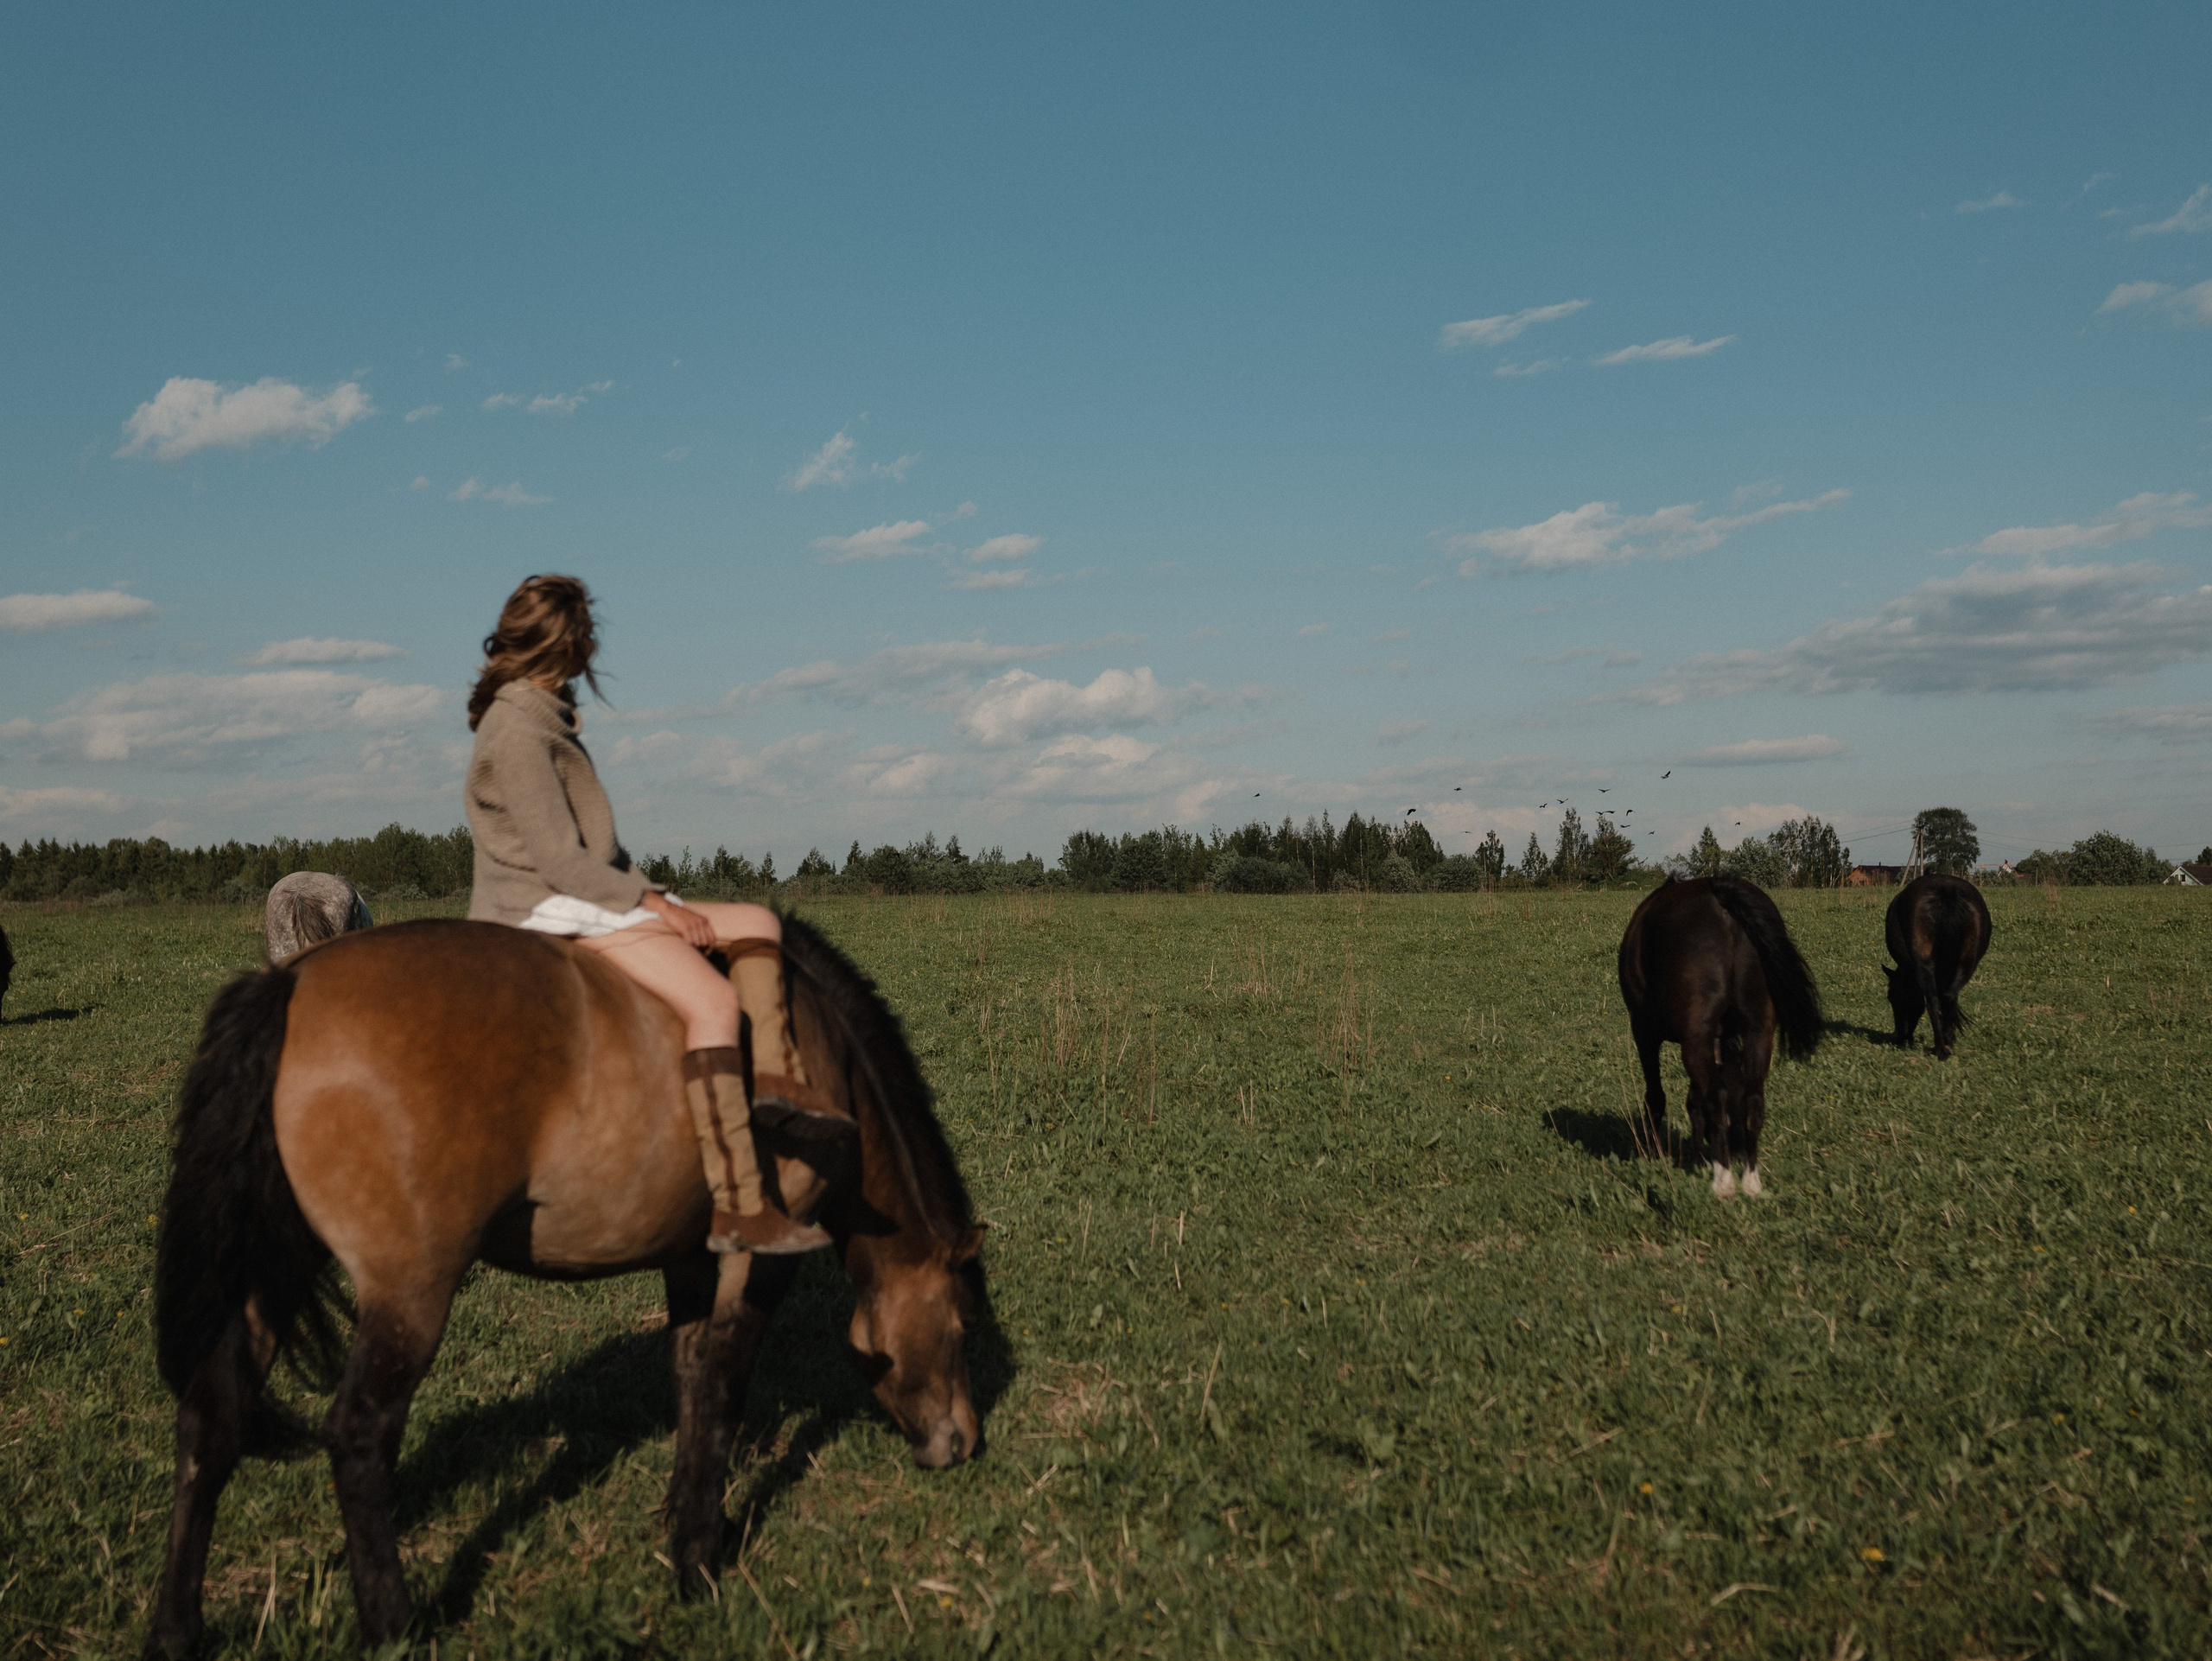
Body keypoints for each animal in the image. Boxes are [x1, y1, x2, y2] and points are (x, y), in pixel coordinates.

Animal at [144, 914, 984, 1657]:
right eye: (959, 1328)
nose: (963, 1442)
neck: (819, 1057)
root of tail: (290, 982)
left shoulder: (689, 1254)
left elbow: (691, 1377)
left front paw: (682, 1516)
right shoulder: (766, 1253)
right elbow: (722, 1389)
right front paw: (698, 1564)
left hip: (274, 1272)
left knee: (212, 1421)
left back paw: (176, 1628)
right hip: (408, 1294)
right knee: (357, 1437)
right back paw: (393, 1625)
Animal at [1617, 875, 1824, 1197]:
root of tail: (1719, 895)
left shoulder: (1645, 1031)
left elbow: (1659, 1097)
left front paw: (1656, 1153)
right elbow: (1700, 1100)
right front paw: (1699, 1155)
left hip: (1695, 1040)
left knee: (1715, 1097)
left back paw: (1723, 1180)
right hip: (1758, 1032)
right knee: (1753, 1099)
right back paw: (1750, 1179)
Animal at [1883, 873, 1992, 1059]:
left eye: (1892, 997)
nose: (1899, 1038)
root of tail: (1946, 891)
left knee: (1935, 1001)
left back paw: (1941, 1047)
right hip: (1966, 963)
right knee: (1946, 998)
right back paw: (1944, 1046)